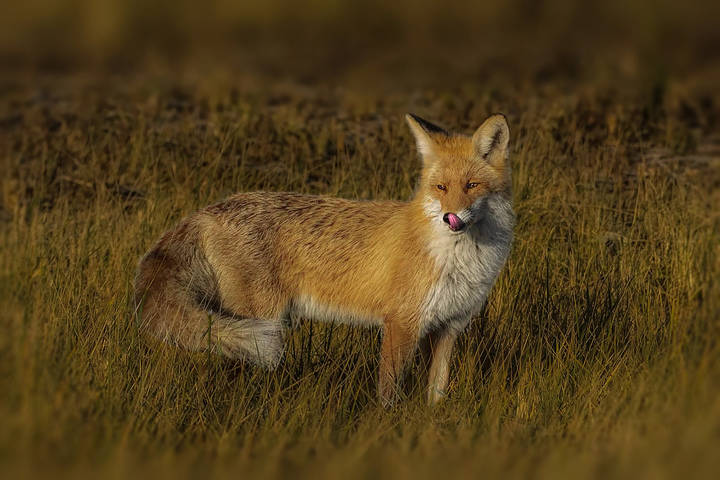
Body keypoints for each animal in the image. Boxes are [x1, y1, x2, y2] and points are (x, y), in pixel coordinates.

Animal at [134, 113, 515, 406]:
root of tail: (207, 211)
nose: (451, 218)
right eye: (440, 188)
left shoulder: (449, 326)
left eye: (472, 185)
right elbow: (388, 392)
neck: (459, 260)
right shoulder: (401, 324)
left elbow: (437, 393)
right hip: (259, 323)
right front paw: (387, 426)